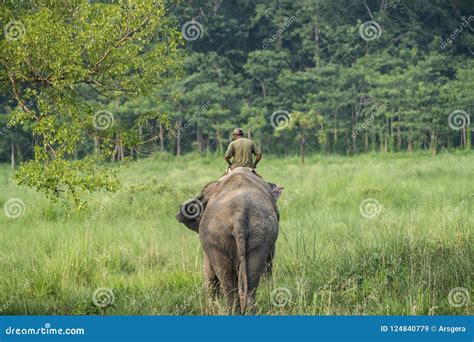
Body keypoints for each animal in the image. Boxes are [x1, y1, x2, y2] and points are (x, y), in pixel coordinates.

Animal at [177, 168, 282, 316]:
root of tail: (240, 214)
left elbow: (208, 272)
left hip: (218, 239)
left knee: (227, 280)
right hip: (260, 234)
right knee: (250, 280)